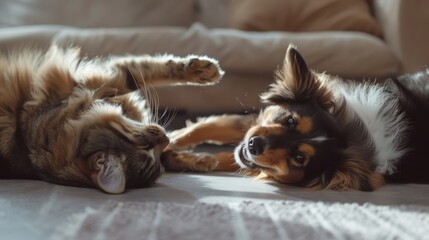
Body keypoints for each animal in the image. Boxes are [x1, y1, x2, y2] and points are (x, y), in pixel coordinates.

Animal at [0, 46, 224, 194]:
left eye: (156, 155)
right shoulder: (93, 84)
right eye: (146, 147)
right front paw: (204, 70)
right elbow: (140, 74)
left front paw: (200, 159)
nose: (164, 138)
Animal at [161, 45, 428, 191]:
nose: (254, 145)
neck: (354, 133)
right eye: (290, 121)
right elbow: (201, 129)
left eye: (300, 158)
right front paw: (171, 142)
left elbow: (228, 158)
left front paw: (186, 159)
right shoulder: (255, 123)